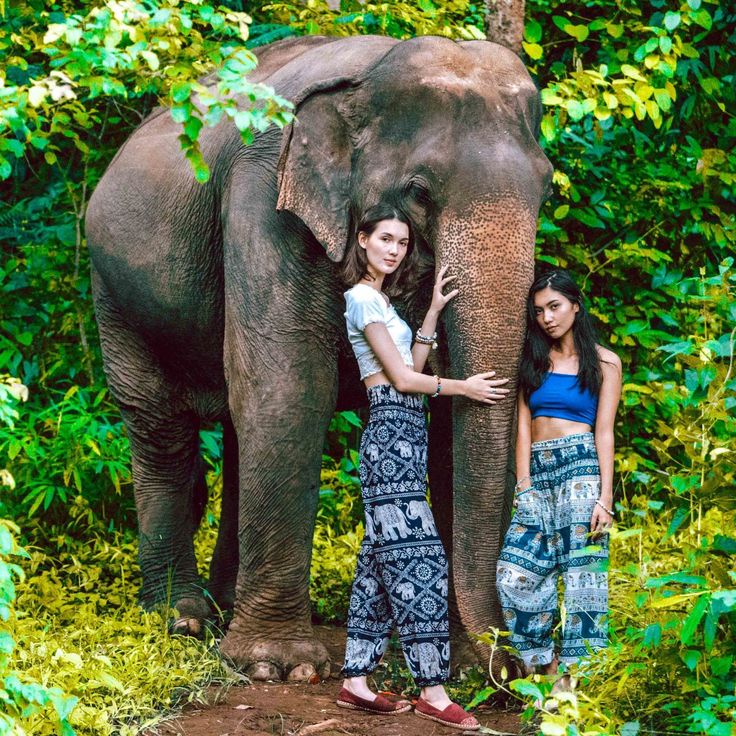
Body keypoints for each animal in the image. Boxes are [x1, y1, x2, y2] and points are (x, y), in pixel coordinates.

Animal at [83, 33, 552, 680]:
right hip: (116, 295)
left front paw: (456, 663)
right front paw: (277, 667)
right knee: (162, 431)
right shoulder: (263, 202)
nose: (509, 664)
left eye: (546, 187)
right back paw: (183, 620)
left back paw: (223, 609)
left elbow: (445, 422)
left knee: (234, 431)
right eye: (420, 191)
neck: (367, 79)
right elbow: (291, 387)